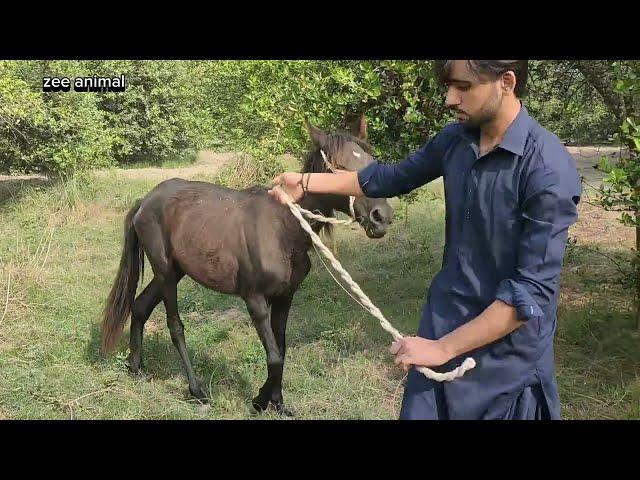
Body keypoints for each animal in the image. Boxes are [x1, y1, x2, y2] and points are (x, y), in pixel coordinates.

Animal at [99, 115, 396, 412]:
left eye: (372, 162)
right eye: (338, 166)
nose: (381, 216)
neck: (283, 229)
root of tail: (145, 201)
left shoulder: (285, 298)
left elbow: (281, 351)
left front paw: (277, 403)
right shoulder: (255, 300)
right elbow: (274, 357)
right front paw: (259, 401)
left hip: (175, 270)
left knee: (140, 307)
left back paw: (135, 367)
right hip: (165, 272)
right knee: (175, 327)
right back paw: (196, 390)